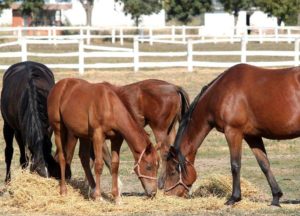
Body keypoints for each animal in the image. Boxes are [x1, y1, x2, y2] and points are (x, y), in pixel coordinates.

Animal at [163, 63, 300, 207]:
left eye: (172, 172)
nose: (169, 195)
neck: (220, 93)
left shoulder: (233, 132)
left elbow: (235, 164)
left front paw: (234, 198)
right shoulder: (252, 136)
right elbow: (264, 164)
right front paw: (276, 197)